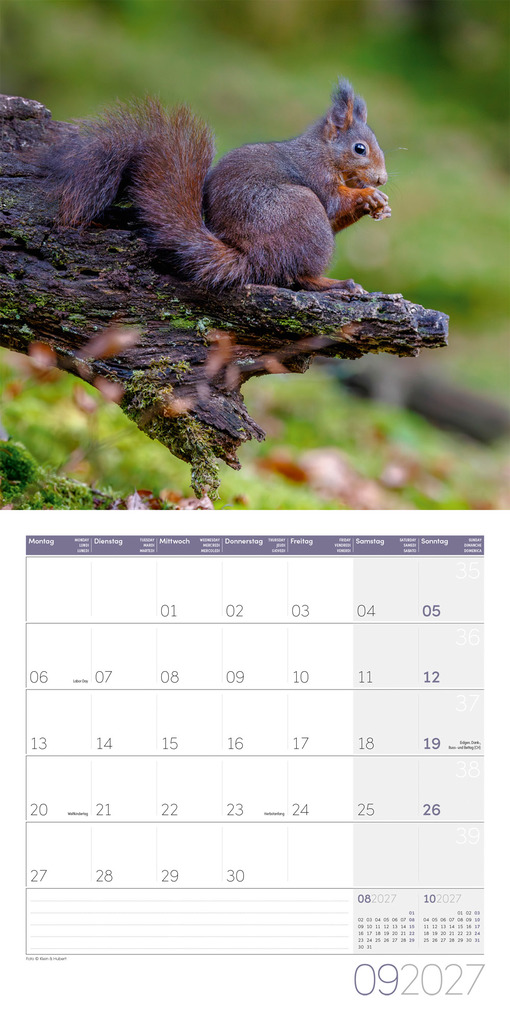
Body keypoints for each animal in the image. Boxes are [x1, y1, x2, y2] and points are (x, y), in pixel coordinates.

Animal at [41, 78, 390, 292]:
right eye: (360, 148)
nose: (382, 178)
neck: (325, 153)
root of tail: (251, 257)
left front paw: (379, 204)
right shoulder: (315, 174)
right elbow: (333, 202)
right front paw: (369, 195)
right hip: (302, 210)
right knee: (297, 275)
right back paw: (336, 284)